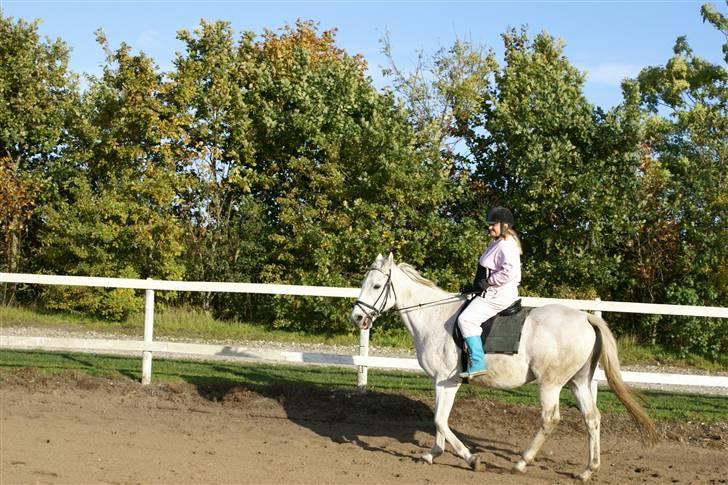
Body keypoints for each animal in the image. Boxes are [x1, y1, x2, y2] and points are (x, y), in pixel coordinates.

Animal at [350, 253, 656, 480]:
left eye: (376, 286)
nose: (357, 318)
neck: (433, 316)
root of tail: (586, 318)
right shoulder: (439, 381)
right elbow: (439, 419)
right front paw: (432, 453)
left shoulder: (448, 381)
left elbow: (440, 420)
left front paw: (471, 459)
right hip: (578, 382)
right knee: (592, 418)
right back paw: (587, 470)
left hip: (550, 383)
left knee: (550, 419)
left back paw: (521, 463)